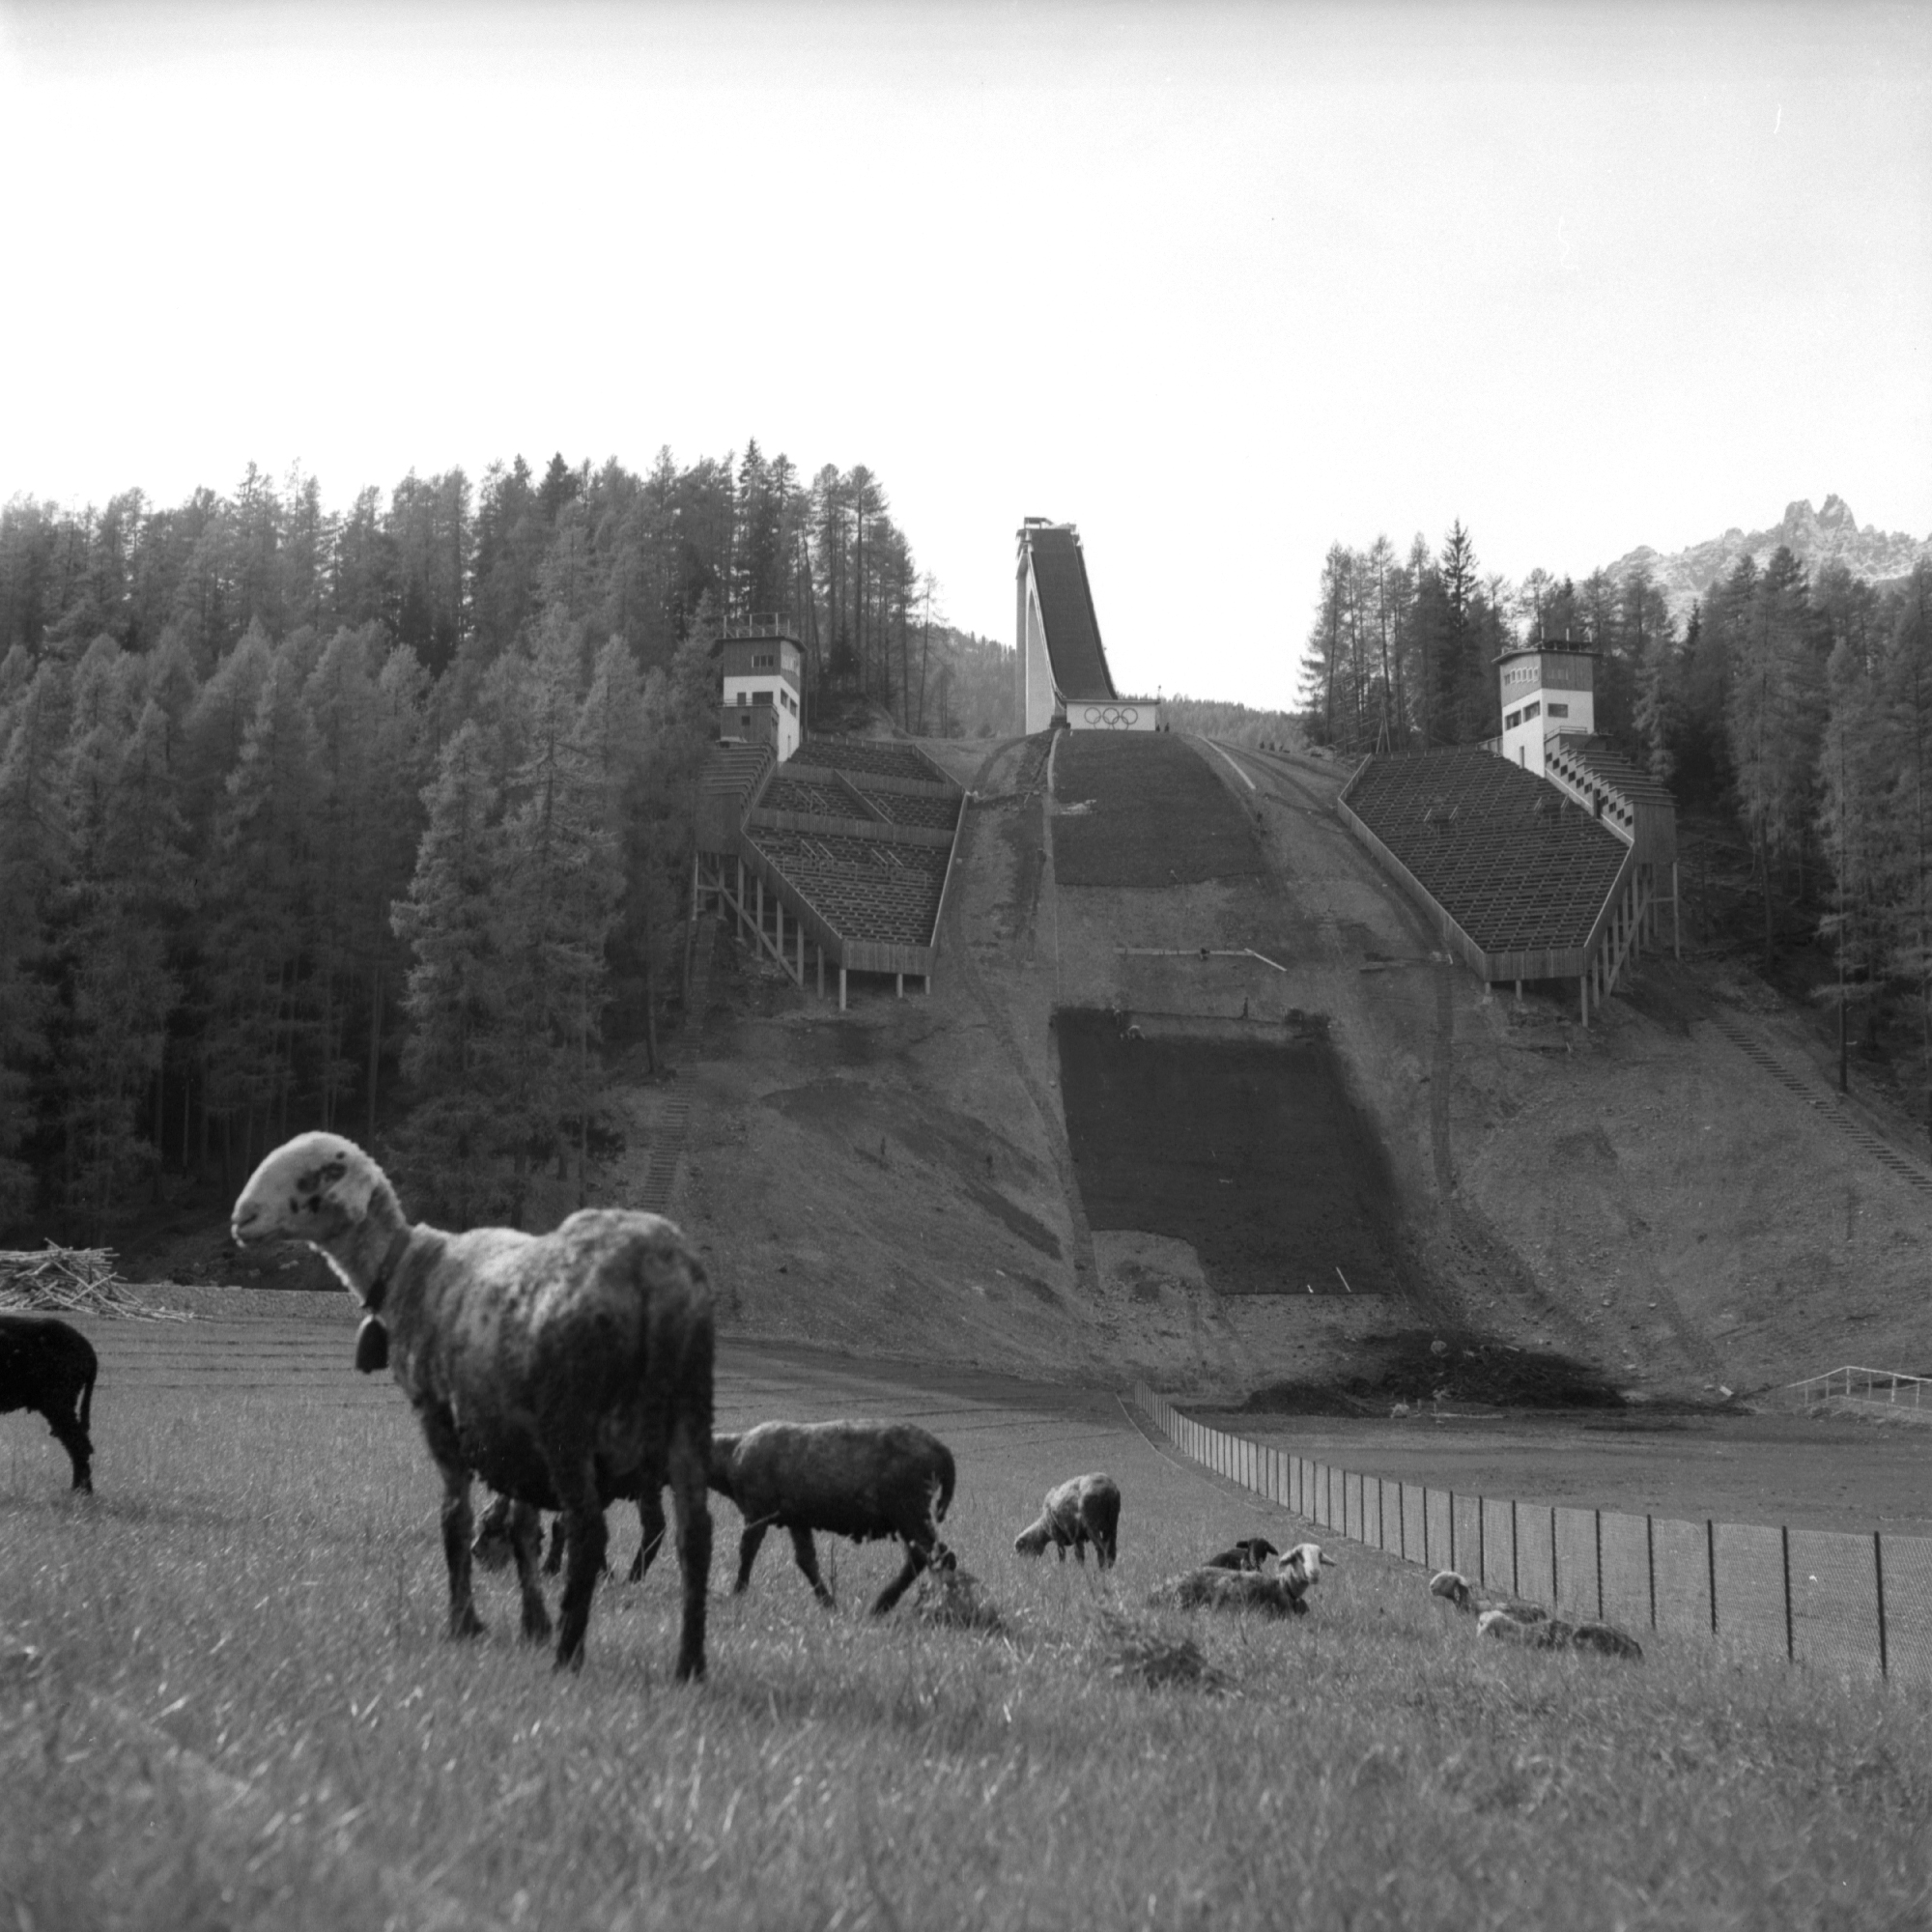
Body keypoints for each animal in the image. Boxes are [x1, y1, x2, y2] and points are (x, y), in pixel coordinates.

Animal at [230, 1131, 713, 1677]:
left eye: (312, 1175)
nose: (242, 1218)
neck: (408, 1267)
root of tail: (652, 1267)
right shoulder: (515, 1440)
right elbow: (523, 1530)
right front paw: (533, 1623)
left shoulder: (439, 1414)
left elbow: (455, 1517)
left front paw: (465, 1622)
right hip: (690, 1412)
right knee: (695, 1536)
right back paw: (689, 1667)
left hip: (569, 1420)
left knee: (589, 1530)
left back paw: (568, 1655)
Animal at [707, 1419, 955, 1614]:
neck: (729, 1457)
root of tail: (944, 1452)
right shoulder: (797, 1519)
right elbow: (806, 1560)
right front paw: (828, 1604)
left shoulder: (756, 1511)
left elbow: (746, 1553)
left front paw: (737, 1594)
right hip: (910, 1513)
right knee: (935, 1555)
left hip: (907, 1509)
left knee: (932, 1554)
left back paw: (884, 1606)